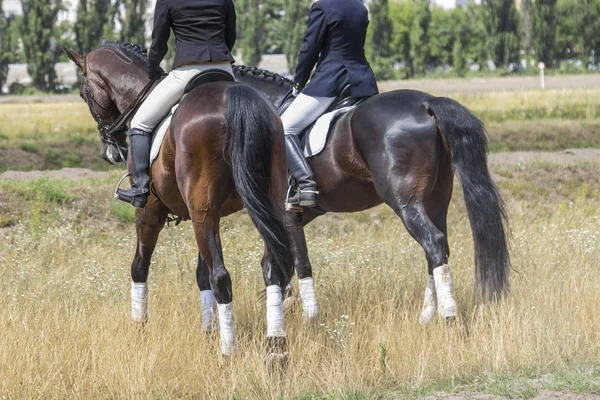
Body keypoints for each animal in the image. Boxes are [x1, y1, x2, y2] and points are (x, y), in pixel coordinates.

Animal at [62, 43, 292, 360]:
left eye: (84, 95)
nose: (110, 152)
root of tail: (233, 97)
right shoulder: (207, 214)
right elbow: (201, 275)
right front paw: (208, 331)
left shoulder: (150, 209)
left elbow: (139, 265)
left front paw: (139, 327)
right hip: (259, 205)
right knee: (271, 267)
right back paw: (276, 347)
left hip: (198, 209)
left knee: (222, 276)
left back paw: (229, 351)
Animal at [230, 65, 510, 322]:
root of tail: (426, 104)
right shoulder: (300, 213)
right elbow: (274, 261)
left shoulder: (285, 212)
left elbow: (298, 260)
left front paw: (309, 316)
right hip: (436, 200)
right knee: (439, 247)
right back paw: (427, 314)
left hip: (406, 203)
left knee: (433, 242)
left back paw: (447, 315)